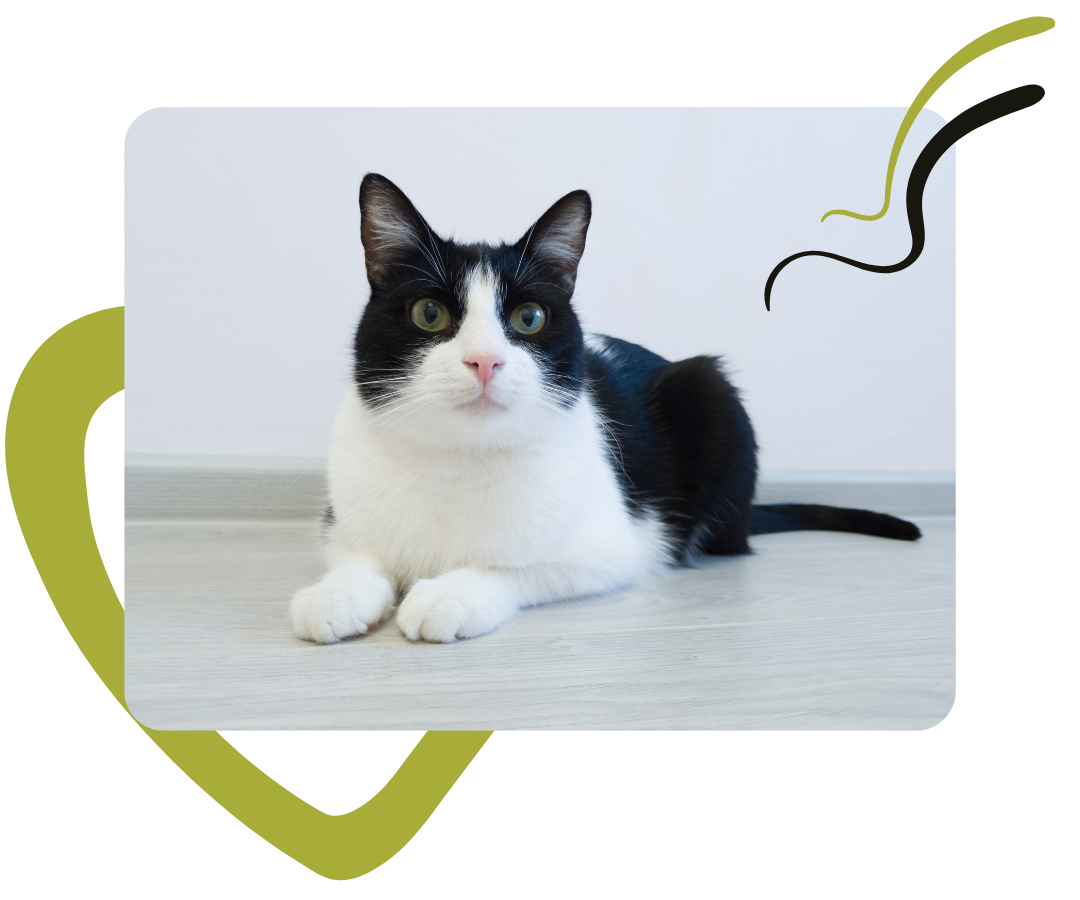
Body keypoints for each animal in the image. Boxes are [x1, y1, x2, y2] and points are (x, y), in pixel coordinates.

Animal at [289, 171, 920, 643]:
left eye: (529, 318)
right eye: (429, 314)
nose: (485, 361)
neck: (456, 461)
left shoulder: (616, 547)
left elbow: (519, 566)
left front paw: (449, 593)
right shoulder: (341, 525)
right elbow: (356, 557)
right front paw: (334, 595)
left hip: (711, 390)